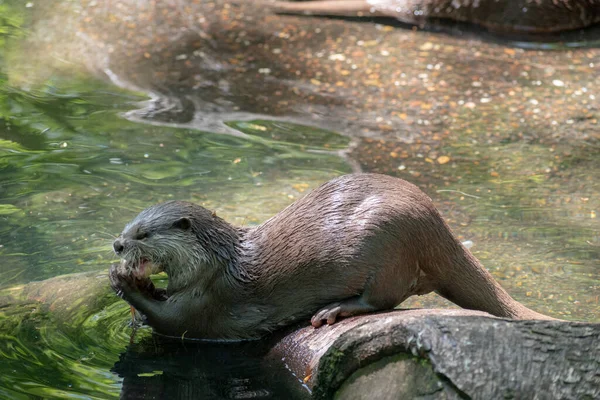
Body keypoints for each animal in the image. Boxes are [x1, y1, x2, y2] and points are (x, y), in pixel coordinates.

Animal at [109, 173, 552, 340]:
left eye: (144, 234)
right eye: (128, 226)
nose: (117, 245)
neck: (217, 264)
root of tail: (435, 222)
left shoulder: (209, 300)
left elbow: (172, 320)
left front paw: (123, 280)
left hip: (388, 242)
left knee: (385, 299)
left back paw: (334, 310)